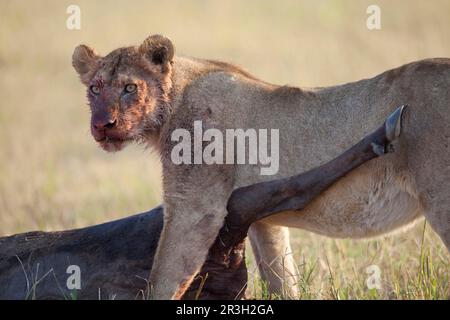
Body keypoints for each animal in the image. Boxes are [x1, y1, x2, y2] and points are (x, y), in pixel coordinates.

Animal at [73, 33, 450, 298]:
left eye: (129, 88)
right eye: (94, 88)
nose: (102, 125)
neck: (174, 101)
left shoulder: (195, 208)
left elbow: (163, 279)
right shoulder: (263, 223)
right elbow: (282, 278)